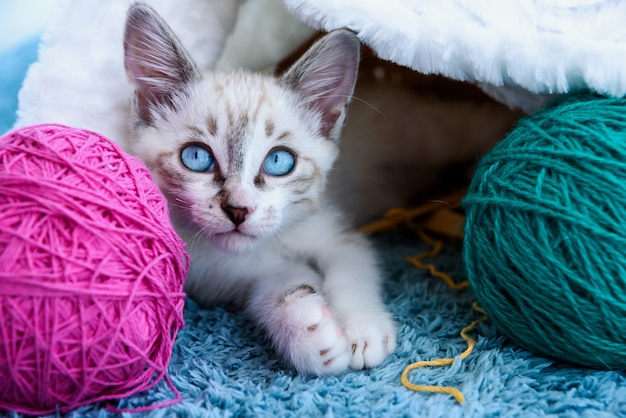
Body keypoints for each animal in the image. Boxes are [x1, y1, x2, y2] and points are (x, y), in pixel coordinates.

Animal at [123, 3, 394, 376]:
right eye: (196, 157)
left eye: (279, 161)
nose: (238, 209)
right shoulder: (225, 277)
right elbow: (280, 285)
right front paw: (312, 334)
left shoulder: (335, 233)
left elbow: (352, 267)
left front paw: (362, 330)